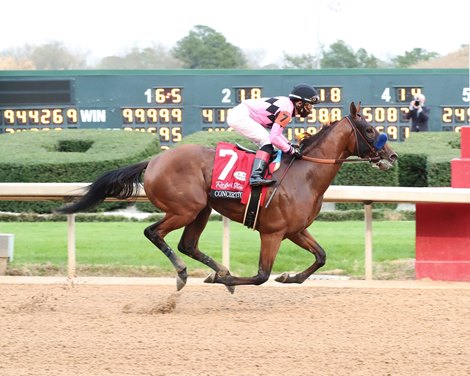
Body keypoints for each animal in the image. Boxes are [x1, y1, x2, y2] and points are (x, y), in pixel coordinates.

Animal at [57, 103, 396, 294]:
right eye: (369, 129)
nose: (392, 156)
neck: (304, 174)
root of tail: (152, 160)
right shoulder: (272, 232)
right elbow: (260, 276)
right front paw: (228, 282)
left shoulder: (295, 230)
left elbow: (321, 256)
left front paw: (289, 277)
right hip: (185, 208)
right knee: (153, 232)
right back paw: (187, 273)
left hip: (202, 210)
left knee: (187, 244)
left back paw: (217, 269)